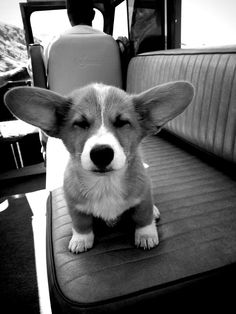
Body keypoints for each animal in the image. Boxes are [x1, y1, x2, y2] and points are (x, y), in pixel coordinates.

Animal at [4, 81, 195, 253]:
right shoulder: (74, 205)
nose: (101, 153)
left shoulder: (143, 197)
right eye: (80, 123)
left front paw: (146, 235)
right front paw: (81, 240)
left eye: (122, 122)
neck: (105, 183)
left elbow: (143, 217)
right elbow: (81, 223)